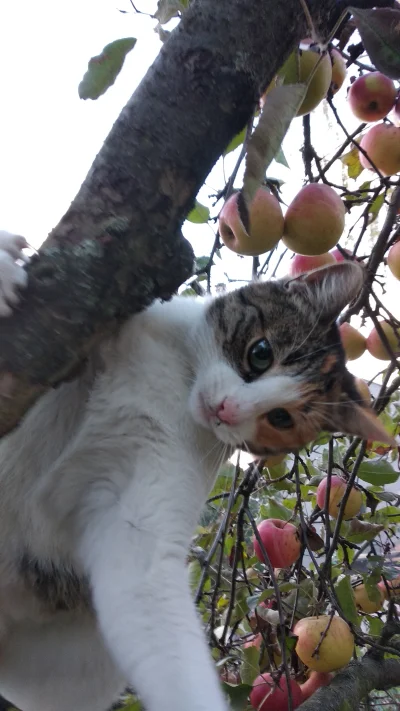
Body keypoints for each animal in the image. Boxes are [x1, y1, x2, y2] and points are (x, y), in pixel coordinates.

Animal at [0, 231, 390, 708]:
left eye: (281, 419)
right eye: (260, 353)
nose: (227, 409)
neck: (177, 380)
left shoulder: (137, 512)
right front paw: (5, 265)